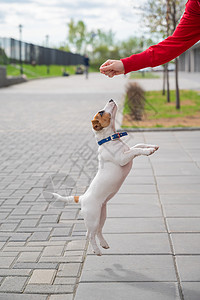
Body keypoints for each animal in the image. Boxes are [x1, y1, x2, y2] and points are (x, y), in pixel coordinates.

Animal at [52, 100, 159, 255]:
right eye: (101, 112)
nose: (111, 99)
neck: (110, 140)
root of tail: (82, 198)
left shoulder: (127, 151)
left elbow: (138, 145)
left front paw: (151, 146)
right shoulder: (123, 158)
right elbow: (135, 150)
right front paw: (148, 151)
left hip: (102, 216)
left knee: (98, 231)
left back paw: (104, 244)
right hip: (93, 218)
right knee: (89, 234)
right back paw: (97, 250)